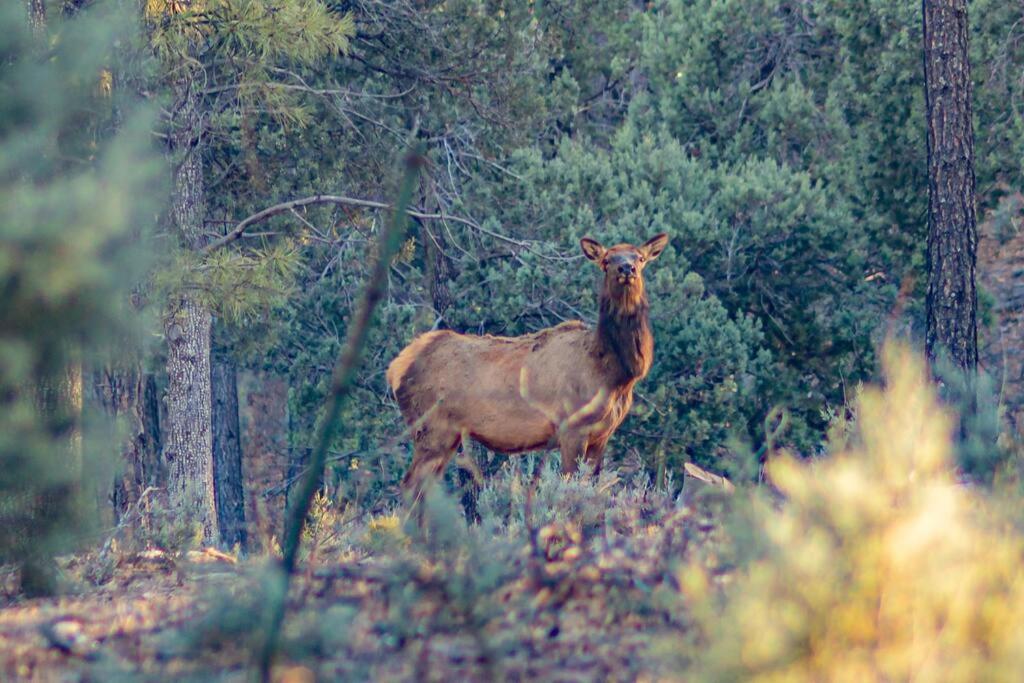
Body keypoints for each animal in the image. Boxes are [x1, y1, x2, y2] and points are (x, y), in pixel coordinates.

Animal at [385, 235, 671, 497]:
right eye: (606, 260)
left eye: (640, 258)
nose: (626, 268)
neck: (613, 374)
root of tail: (396, 367)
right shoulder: (572, 428)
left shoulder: (602, 436)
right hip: (430, 428)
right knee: (410, 487)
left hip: (447, 435)